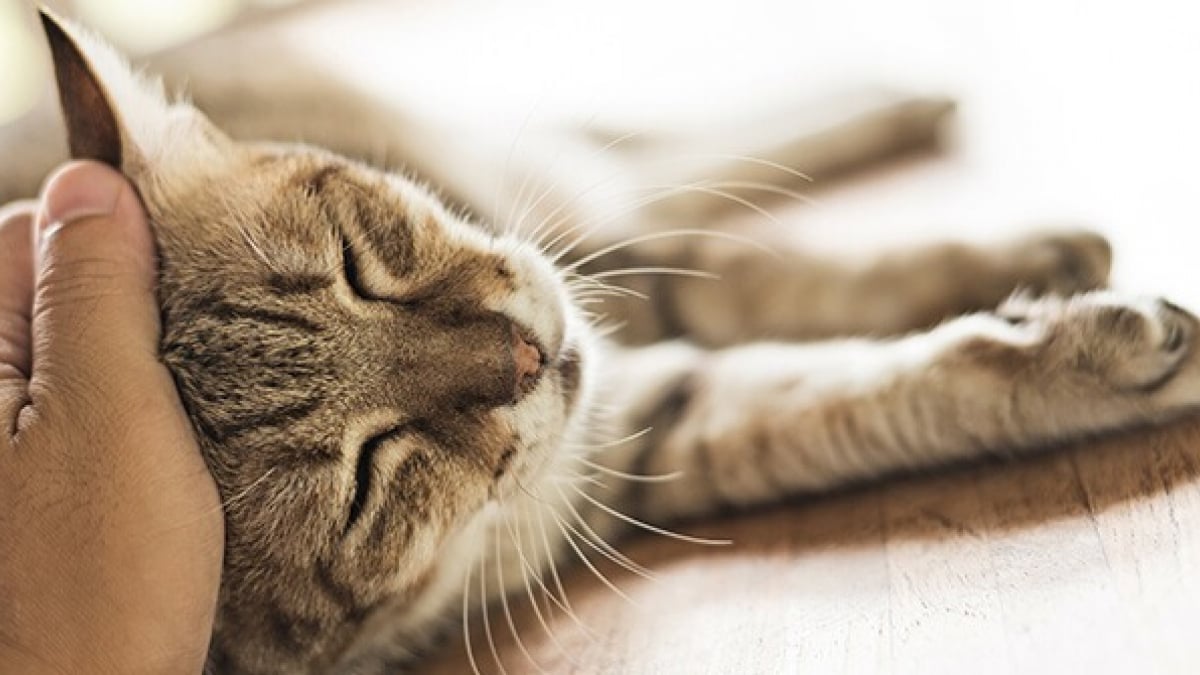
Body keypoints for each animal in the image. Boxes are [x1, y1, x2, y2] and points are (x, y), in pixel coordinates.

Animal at [9, 10, 1200, 672]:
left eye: (358, 258)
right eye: (367, 484)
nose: (525, 357)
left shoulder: (610, 275)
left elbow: (814, 276)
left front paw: (1041, 274)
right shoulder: (649, 434)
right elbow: (874, 396)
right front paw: (1094, 354)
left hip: (571, 192)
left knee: (646, 150)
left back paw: (910, 98)